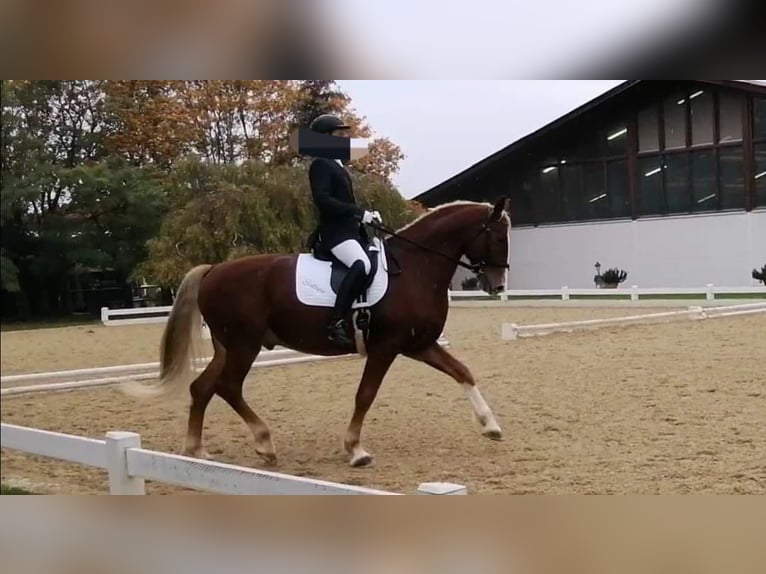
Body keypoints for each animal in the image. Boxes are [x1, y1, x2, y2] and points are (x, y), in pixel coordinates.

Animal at [123, 198, 512, 468]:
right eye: (497, 237)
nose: (497, 285)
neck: (415, 268)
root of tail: (213, 269)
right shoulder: (386, 347)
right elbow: (365, 395)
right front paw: (355, 449)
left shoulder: (420, 344)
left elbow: (463, 372)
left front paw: (491, 425)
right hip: (244, 345)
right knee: (228, 387)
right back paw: (264, 443)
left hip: (226, 346)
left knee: (202, 388)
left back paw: (197, 450)